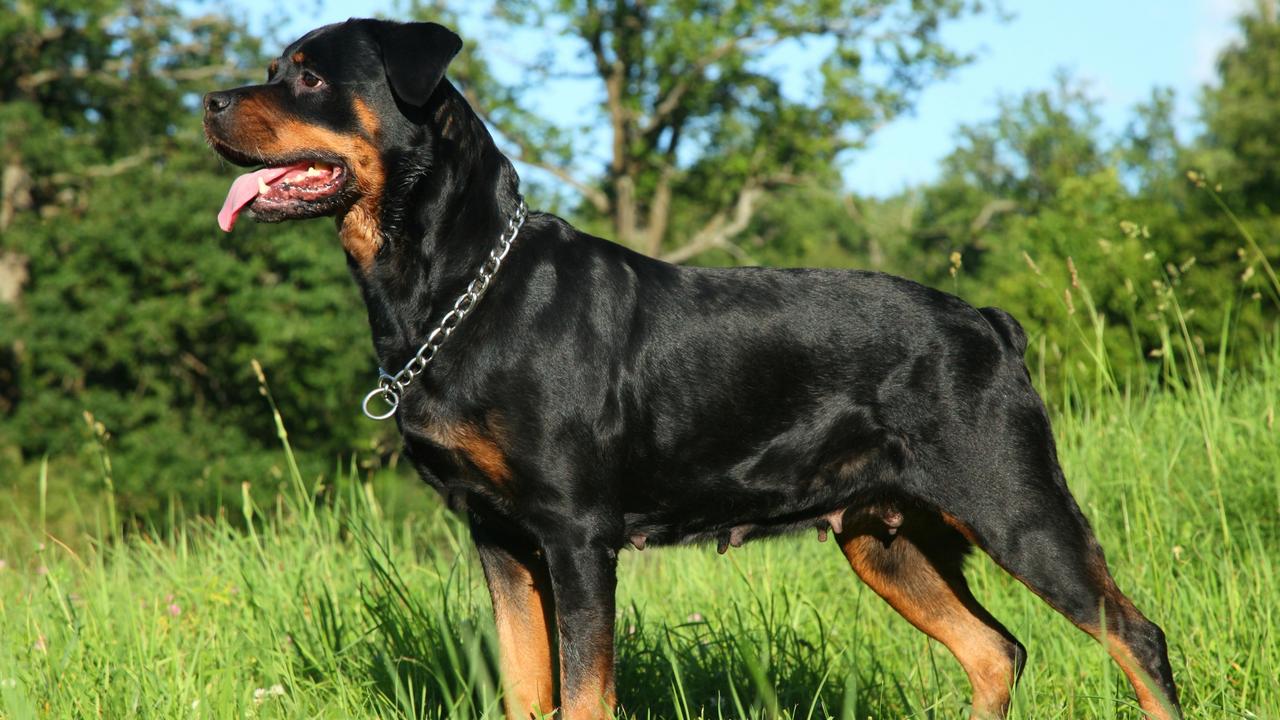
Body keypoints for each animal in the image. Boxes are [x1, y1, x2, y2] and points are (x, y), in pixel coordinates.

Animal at [204, 19, 1182, 712]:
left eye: (311, 76)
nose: (209, 102)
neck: (456, 287)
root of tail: (988, 323)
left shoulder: (577, 535)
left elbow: (584, 696)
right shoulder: (498, 538)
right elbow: (527, 691)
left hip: (1015, 504)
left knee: (1137, 638)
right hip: (883, 537)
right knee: (996, 652)